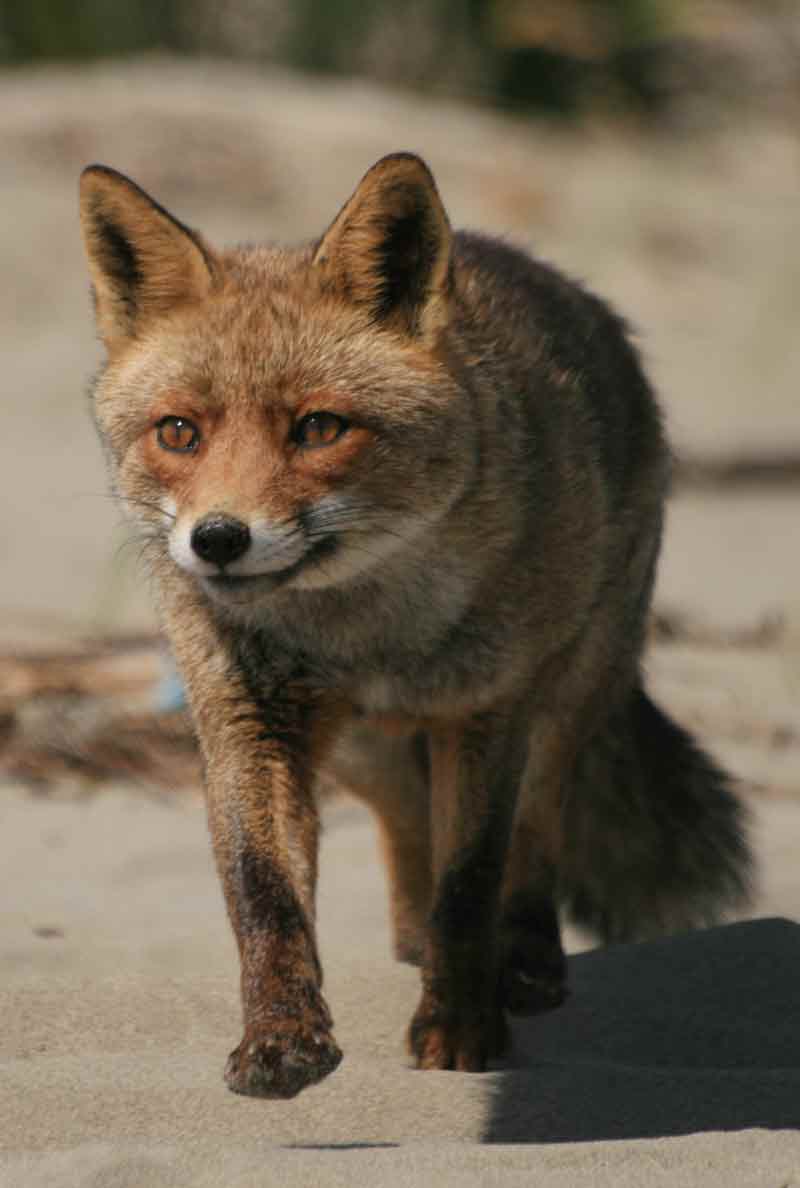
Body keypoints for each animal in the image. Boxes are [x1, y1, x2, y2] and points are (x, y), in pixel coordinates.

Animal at [79, 153, 751, 1097]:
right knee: (405, 834)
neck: (366, 634)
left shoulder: (485, 712)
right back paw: (408, 945)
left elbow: (470, 884)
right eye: (179, 432)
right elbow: (264, 894)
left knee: (535, 835)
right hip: (363, 748)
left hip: (566, 694)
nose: (216, 541)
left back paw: (525, 963)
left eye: (319, 427)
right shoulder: (248, 720)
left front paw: (461, 1029)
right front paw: (282, 1039)